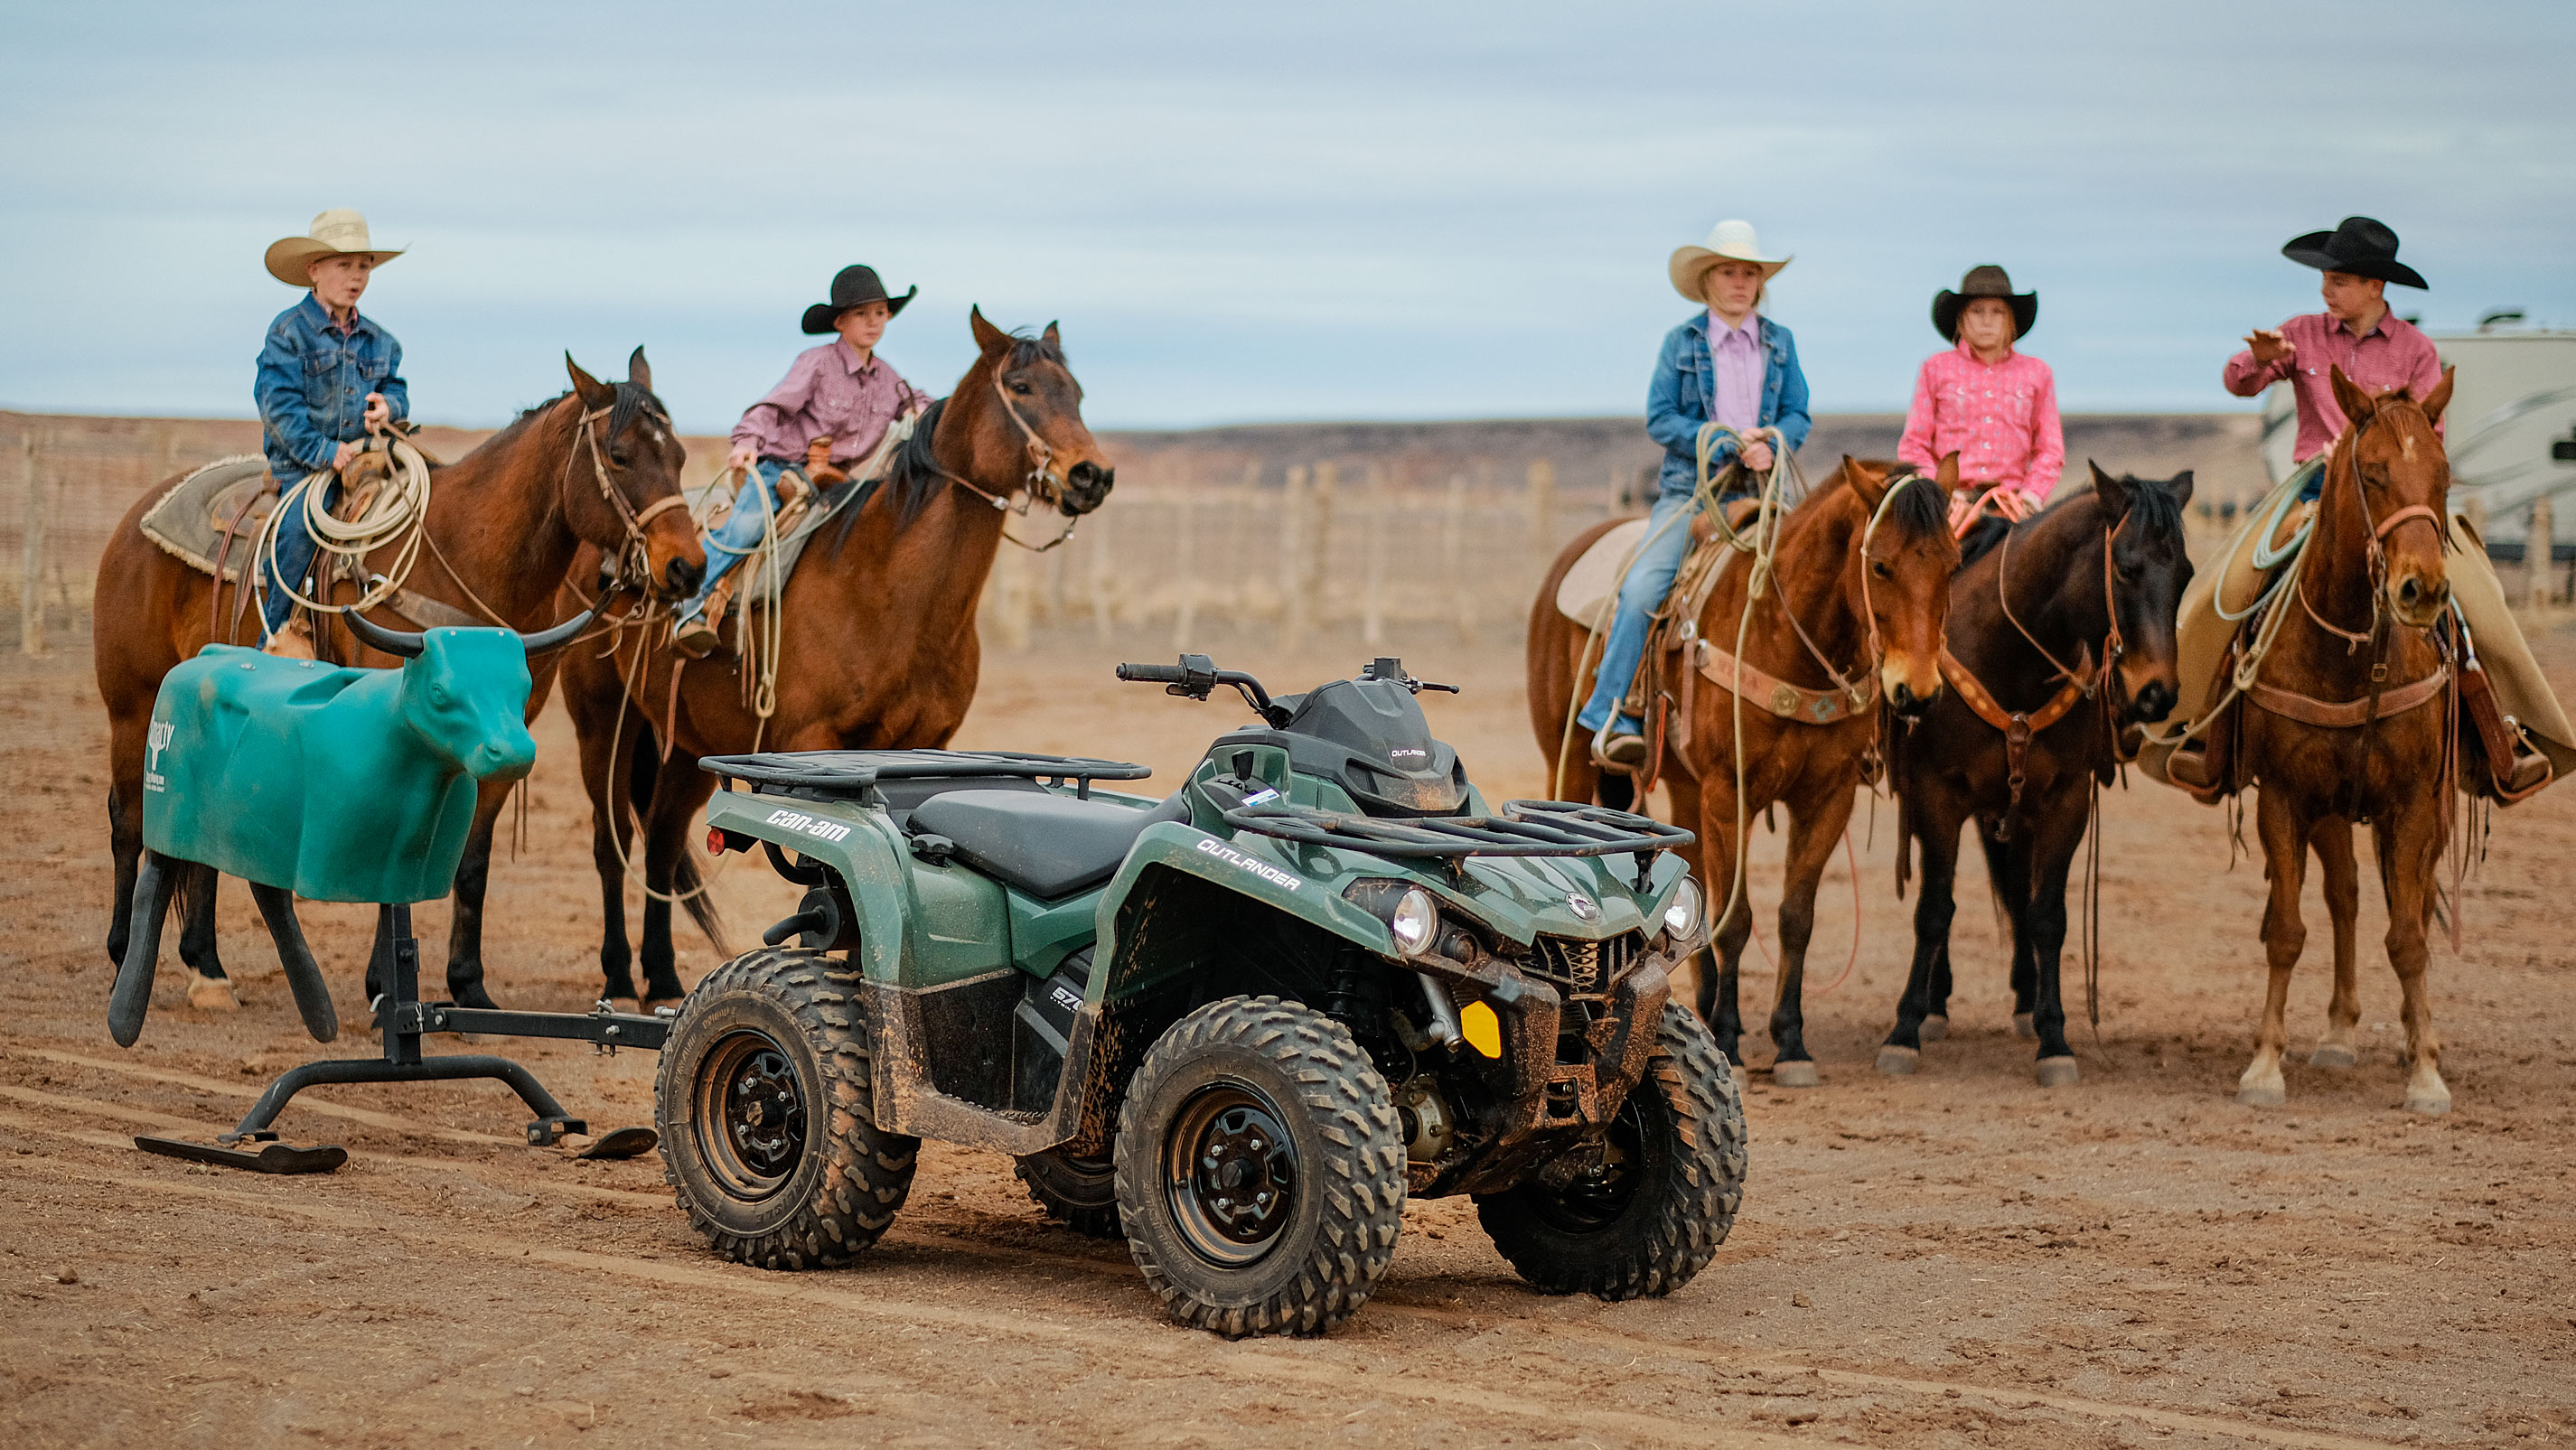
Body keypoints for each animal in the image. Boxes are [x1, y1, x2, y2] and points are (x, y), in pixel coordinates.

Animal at [553, 306, 1118, 1009]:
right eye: (1020, 387)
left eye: (1077, 392)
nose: (1092, 475)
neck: (886, 589)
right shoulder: (812, 743)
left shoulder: (923, 748)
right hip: (604, 719)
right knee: (612, 844)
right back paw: (617, 975)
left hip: (687, 743)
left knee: (659, 846)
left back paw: (663, 979)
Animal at [1514, 458, 1957, 1081]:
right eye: (1881, 565)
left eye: (1954, 563)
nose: (1916, 692)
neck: (1786, 637)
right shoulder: (1729, 795)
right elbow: (1736, 917)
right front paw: (1728, 1036)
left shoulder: (1828, 797)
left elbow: (1795, 917)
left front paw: (1790, 1042)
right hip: (1570, 755)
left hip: (1683, 788)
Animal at [1875, 465, 2195, 1091]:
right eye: (2125, 567)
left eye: (2187, 573)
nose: (2156, 694)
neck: (2010, 653)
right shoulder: (1937, 796)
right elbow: (1934, 909)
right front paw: (1904, 1029)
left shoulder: (2065, 800)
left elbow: (2046, 915)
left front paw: (2054, 1038)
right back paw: (1936, 1006)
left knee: (2018, 891)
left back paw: (2024, 1001)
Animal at [2235, 362, 2452, 1112]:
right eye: (2375, 470)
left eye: (2443, 473)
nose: (2422, 588)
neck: (2350, 656)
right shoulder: (2284, 798)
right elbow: (2285, 932)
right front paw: (2264, 1063)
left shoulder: (2413, 804)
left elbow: (2410, 938)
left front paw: (2426, 1071)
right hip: (2331, 811)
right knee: (2347, 896)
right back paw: (2337, 1032)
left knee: (2406, 899)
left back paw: (2415, 1035)